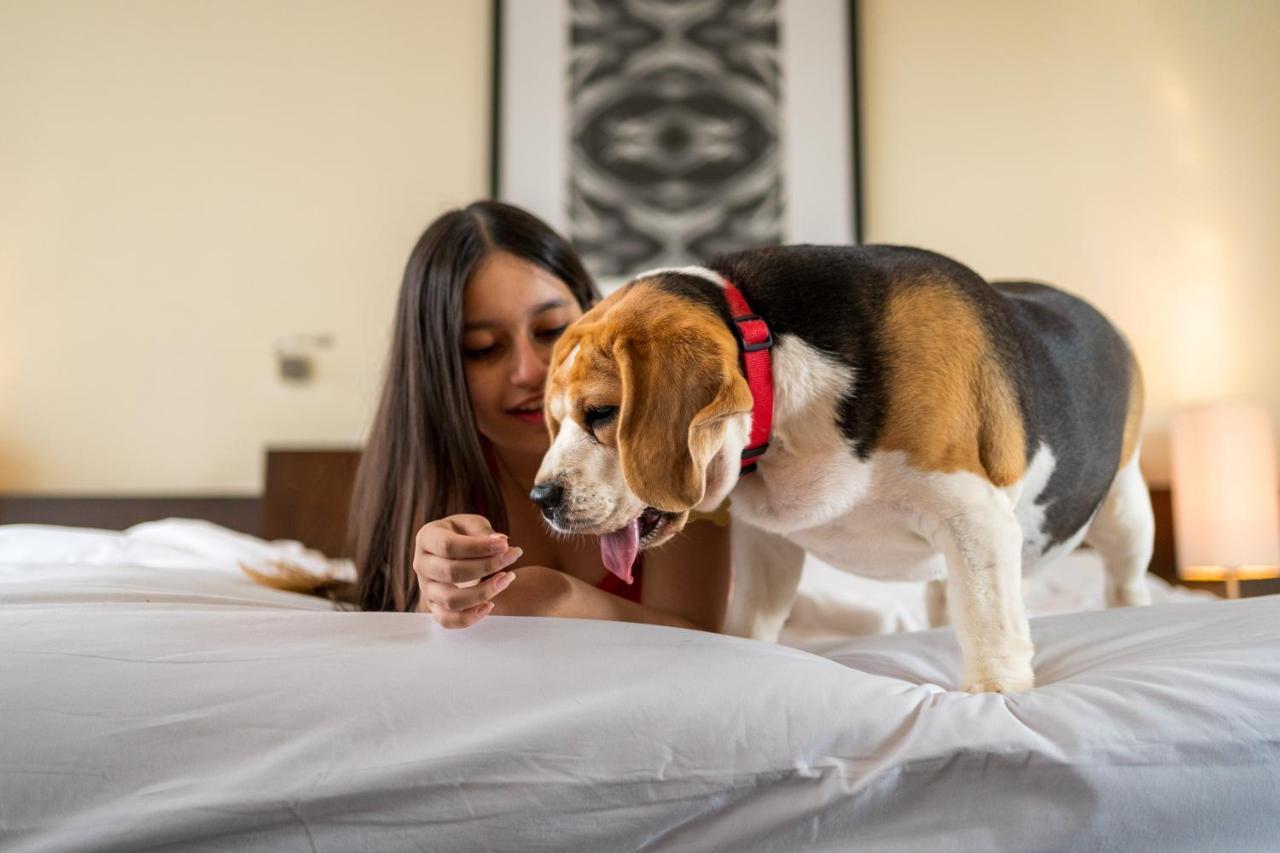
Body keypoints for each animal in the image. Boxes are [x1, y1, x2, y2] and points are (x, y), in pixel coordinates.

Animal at [535, 244, 1157, 691]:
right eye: (554, 419)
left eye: (602, 413)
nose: (542, 499)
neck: (773, 353)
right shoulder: (768, 545)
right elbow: (751, 623)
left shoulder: (974, 520)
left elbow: (989, 623)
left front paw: (996, 695)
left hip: (1126, 513)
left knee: (1123, 581)